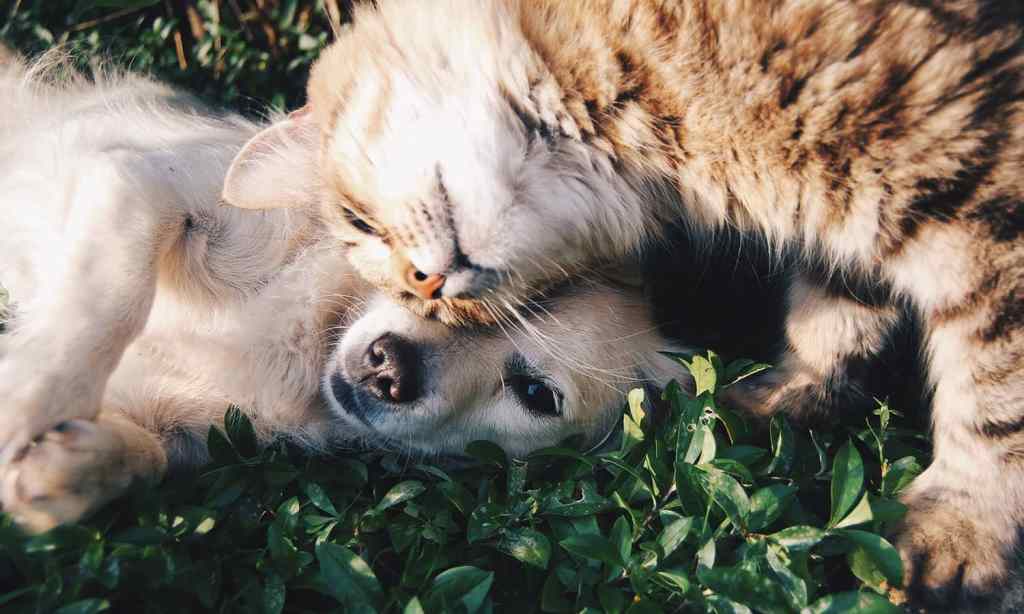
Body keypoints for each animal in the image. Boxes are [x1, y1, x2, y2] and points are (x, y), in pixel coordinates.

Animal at [222, 0, 1024, 605]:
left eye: (358, 223)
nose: (426, 288)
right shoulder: (851, 226)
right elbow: (836, 312)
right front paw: (784, 396)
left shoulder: (980, 196)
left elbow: (994, 393)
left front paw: (961, 529)